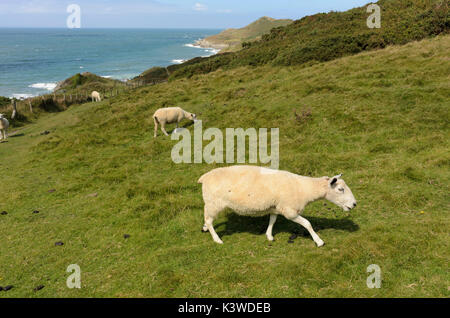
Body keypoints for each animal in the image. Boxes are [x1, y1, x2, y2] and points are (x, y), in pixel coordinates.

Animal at [199, 165, 356, 247]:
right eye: (340, 189)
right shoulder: (290, 211)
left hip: (211, 203)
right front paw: (319, 241)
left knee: (207, 219)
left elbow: (272, 220)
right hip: (214, 203)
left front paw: (269, 235)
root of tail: (204, 177)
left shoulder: (276, 206)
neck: (304, 189)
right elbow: (307, 223)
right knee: (209, 220)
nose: (354, 204)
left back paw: (205, 228)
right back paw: (217, 239)